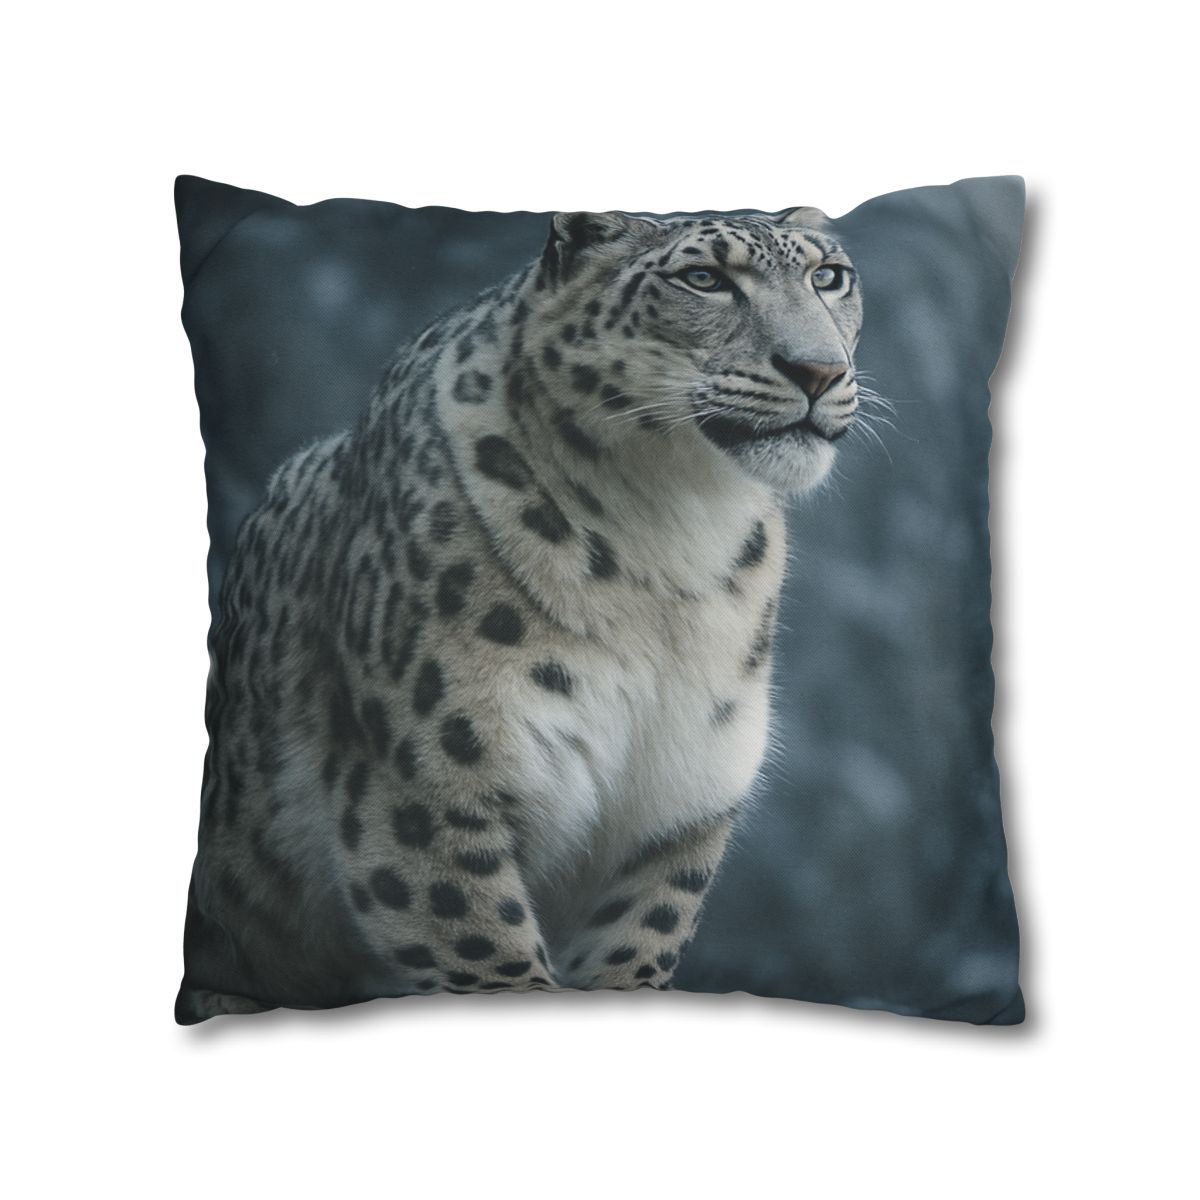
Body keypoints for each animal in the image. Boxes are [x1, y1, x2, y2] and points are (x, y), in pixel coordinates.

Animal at [177, 206, 864, 1022]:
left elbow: (635, 948)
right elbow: (485, 950)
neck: (678, 540)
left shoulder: (676, 813)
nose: (819, 370)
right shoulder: (424, 793)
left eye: (829, 276)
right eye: (703, 278)